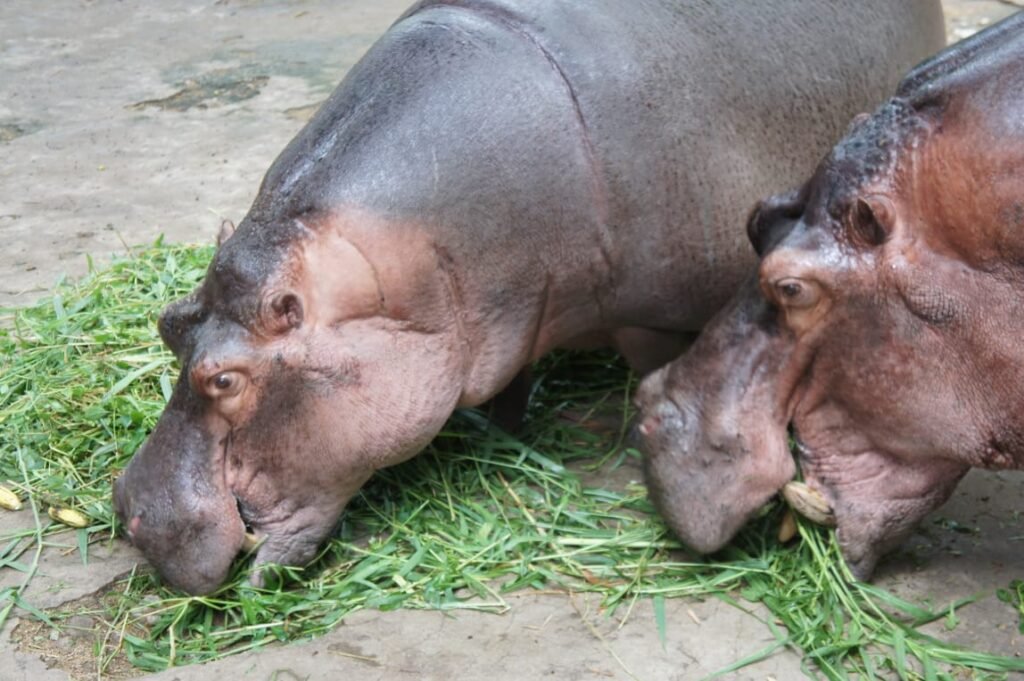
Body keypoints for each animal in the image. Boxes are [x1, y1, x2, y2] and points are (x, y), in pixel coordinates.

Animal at [112, 0, 942, 593]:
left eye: (225, 378)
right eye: (168, 322)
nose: (130, 511)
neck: (407, 257)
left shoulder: (652, 311)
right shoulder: (500, 314)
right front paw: (506, 423)